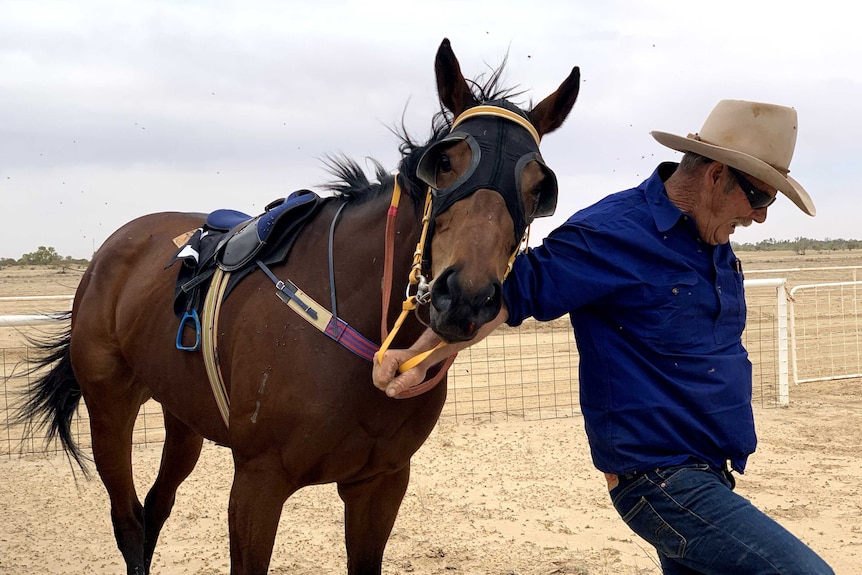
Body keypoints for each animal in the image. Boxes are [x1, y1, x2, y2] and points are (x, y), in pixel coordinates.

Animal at [16, 38, 580, 572]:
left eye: (540, 188)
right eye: (444, 162)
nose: (464, 296)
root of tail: (112, 249)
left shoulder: (381, 483)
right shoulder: (257, 483)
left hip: (182, 415)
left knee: (154, 511)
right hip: (110, 407)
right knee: (130, 524)